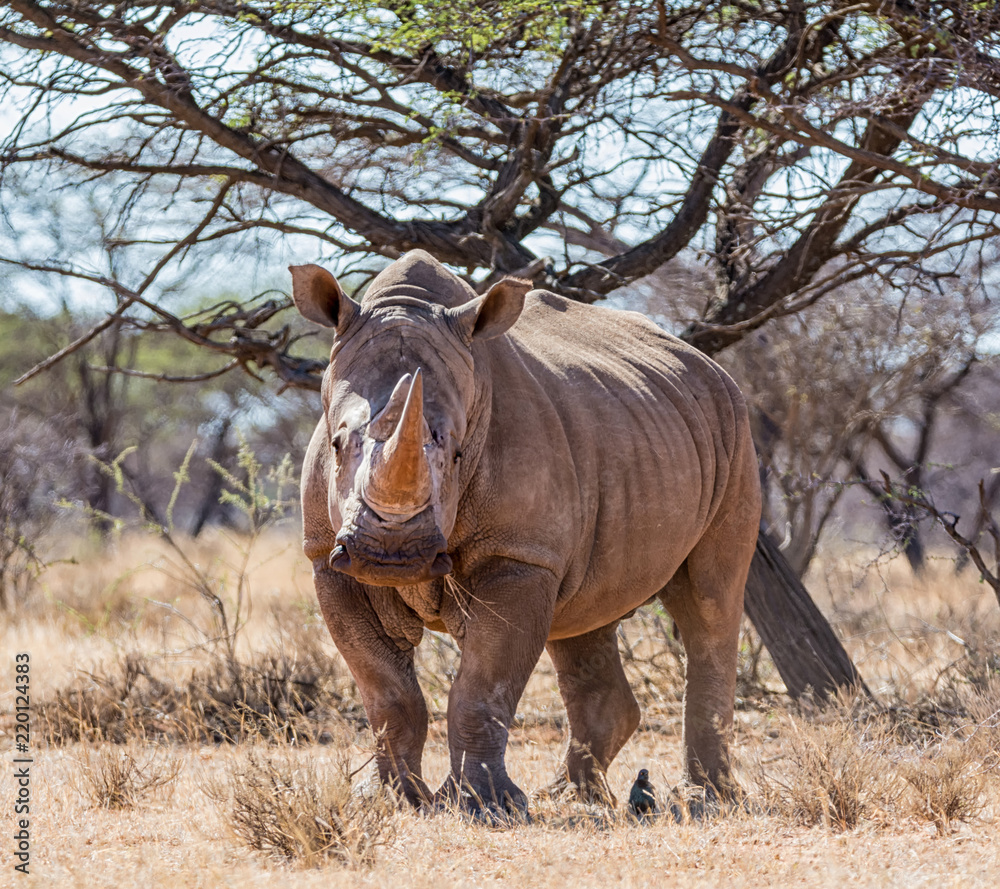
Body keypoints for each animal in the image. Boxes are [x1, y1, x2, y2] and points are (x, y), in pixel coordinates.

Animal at [292, 251, 761, 816]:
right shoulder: (327, 556)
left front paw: (486, 806)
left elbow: (483, 685)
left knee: (709, 602)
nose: (391, 554)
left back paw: (706, 800)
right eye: (338, 444)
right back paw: (575, 796)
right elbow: (386, 692)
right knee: (582, 619)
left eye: (457, 454)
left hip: (734, 428)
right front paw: (387, 800)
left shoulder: (518, 554)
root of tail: (710, 365)